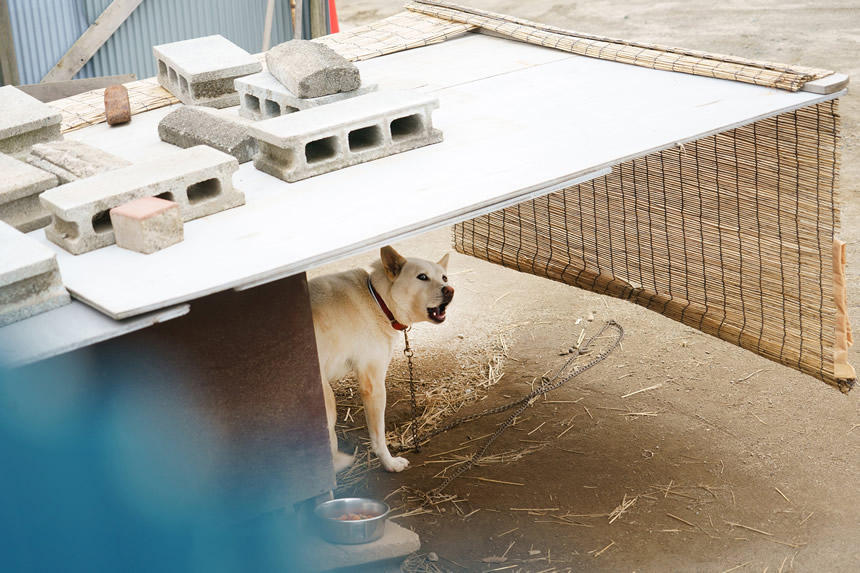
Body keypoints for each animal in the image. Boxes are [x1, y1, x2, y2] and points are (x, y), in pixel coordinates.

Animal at [310, 246, 456, 474]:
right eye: (422, 277)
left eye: (444, 277)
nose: (449, 289)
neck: (378, 300)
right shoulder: (373, 385)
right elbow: (378, 437)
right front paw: (390, 463)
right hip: (328, 404)